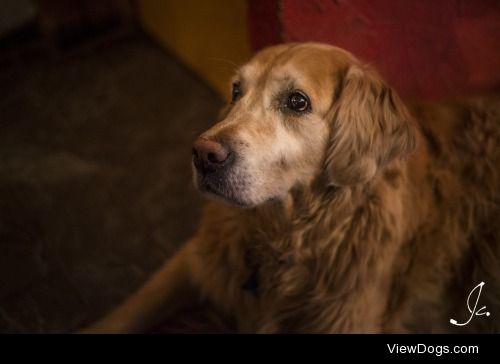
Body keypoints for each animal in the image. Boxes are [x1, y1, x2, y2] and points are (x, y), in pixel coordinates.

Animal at [84, 42, 498, 332]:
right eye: (236, 91)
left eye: (297, 101)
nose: (203, 155)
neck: (286, 235)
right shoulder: (196, 256)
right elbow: (129, 310)